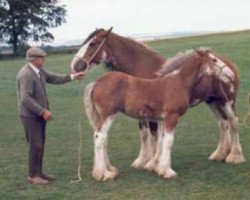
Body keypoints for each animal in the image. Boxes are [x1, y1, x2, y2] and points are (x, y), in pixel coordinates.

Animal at [70, 27, 244, 173]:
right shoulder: (146, 114)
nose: (74, 67)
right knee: (223, 123)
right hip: (212, 101)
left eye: (92, 44)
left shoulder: (154, 115)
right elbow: (146, 135)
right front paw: (145, 161)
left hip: (226, 100)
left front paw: (153, 163)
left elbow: (155, 136)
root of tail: (231, 63)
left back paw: (234, 156)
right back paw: (220, 154)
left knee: (233, 122)